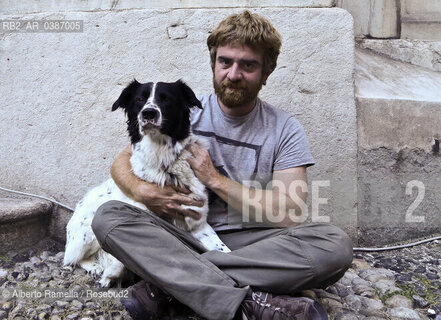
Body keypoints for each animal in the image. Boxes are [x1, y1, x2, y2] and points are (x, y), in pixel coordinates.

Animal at [65, 80, 230, 288]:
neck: (164, 163)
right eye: (139, 99)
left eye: (166, 98)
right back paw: (95, 267)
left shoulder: (197, 223)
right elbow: (119, 256)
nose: (148, 113)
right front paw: (109, 274)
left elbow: (223, 250)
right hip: (88, 230)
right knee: (71, 259)